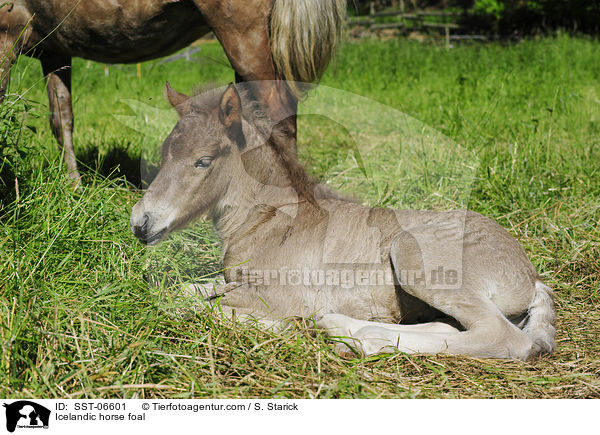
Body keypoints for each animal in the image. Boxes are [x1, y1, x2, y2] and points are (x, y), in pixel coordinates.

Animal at [129, 84, 556, 362]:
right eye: (164, 153)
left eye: (203, 161)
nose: (140, 223)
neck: (272, 222)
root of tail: (530, 275)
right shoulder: (233, 280)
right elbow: (185, 291)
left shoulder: (279, 296)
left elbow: (197, 306)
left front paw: (277, 326)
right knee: (451, 328)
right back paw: (345, 329)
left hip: (414, 255)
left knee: (500, 336)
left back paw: (361, 341)